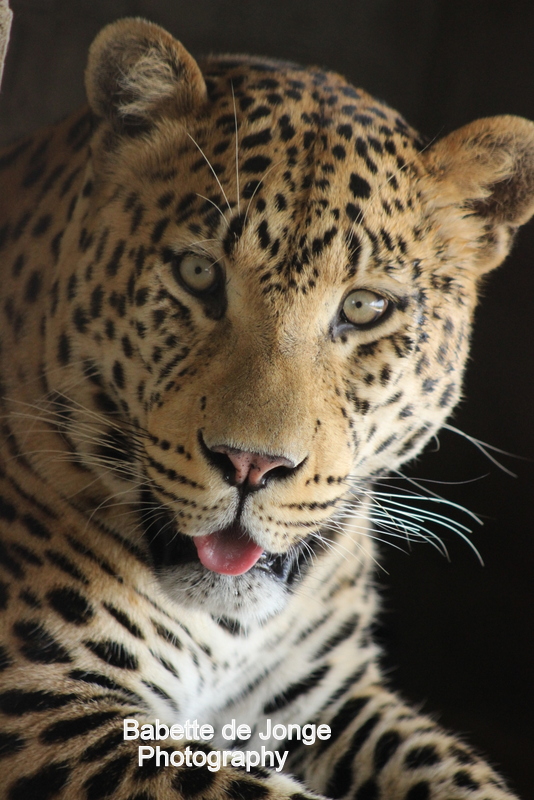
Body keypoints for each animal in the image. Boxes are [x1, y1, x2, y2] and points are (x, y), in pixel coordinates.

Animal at [1, 17, 534, 800]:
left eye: (364, 308)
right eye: (198, 274)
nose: (251, 465)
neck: (227, 633)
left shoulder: (333, 698)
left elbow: (456, 771)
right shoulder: (44, 704)